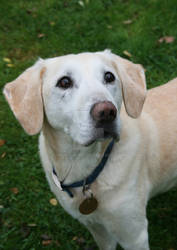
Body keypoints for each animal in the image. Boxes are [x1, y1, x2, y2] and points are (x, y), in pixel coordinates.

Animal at [3, 49, 177, 249]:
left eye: (109, 77)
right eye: (64, 82)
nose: (107, 112)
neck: (81, 165)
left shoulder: (134, 235)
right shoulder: (98, 230)